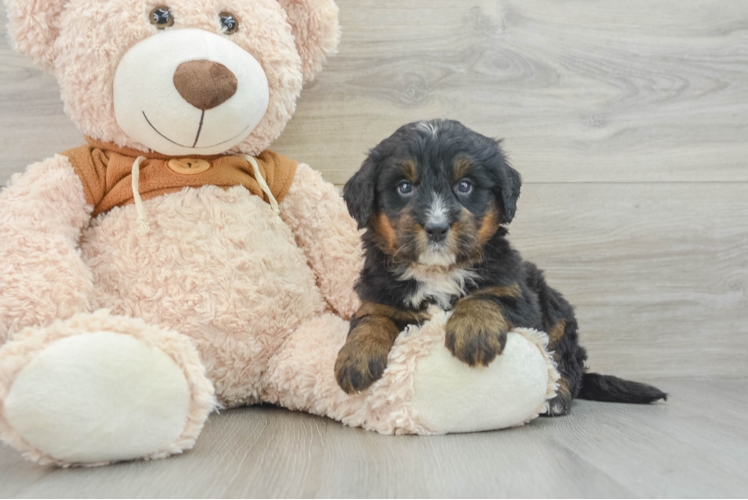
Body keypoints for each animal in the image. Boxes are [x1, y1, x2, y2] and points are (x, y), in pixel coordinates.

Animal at [334, 119, 668, 416]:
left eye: (465, 186)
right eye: (404, 187)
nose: (437, 228)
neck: (439, 272)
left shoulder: (519, 295)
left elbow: (487, 296)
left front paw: (475, 332)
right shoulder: (377, 297)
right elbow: (372, 319)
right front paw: (355, 358)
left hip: (558, 318)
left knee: (565, 364)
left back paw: (557, 397)